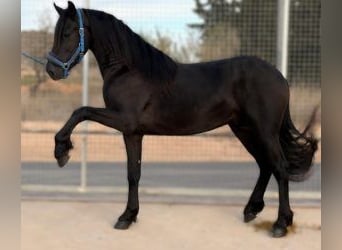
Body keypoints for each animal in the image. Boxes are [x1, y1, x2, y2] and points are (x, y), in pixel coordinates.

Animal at [46, 1, 318, 236]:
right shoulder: (133, 132)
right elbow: (134, 174)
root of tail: (279, 77)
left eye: (68, 32)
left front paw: (61, 150)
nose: (52, 70)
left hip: (264, 131)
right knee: (265, 165)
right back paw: (252, 209)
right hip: (244, 130)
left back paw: (281, 224)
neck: (129, 70)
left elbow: (81, 111)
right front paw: (128, 216)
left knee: (279, 167)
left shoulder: (124, 120)